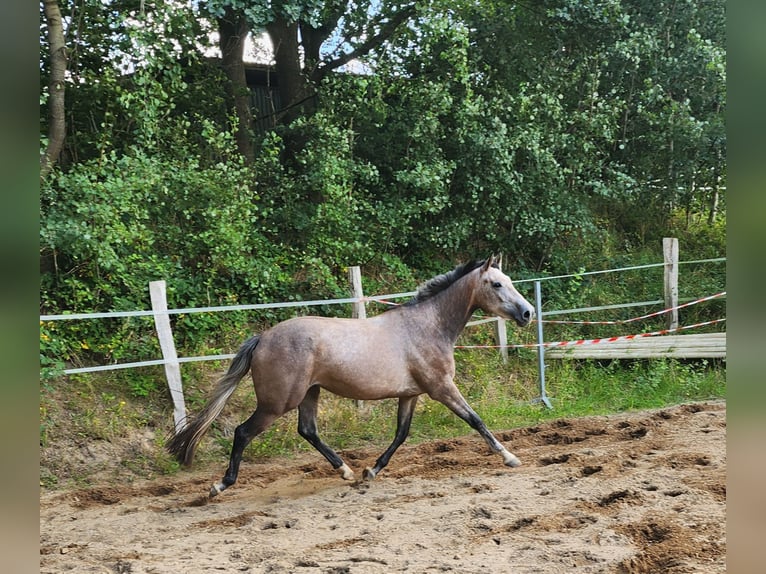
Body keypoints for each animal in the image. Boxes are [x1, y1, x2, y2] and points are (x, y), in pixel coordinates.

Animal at [165, 258, 536, 500]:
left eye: (510, 280)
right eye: (497, 284)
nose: (527, 313)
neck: (428, 327)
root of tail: (263, 338)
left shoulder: (411, 394)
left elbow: (401, 435)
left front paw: (370, 472)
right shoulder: (441, 388)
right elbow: (476, 420)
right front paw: (510, 457)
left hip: (309, 393)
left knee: (308, 430)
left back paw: (345, 470)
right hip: (277, 403)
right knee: (243, 433)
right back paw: (220, 485)